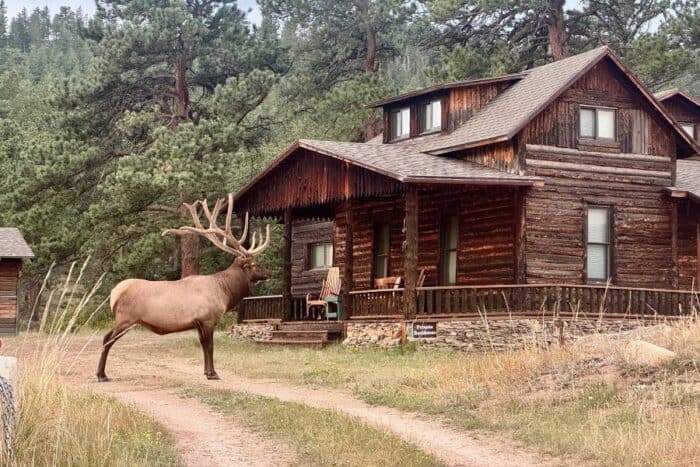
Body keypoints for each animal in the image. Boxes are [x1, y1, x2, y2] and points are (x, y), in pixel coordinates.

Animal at [96, 193, 271, 382]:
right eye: (254, 265)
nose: (268, 273)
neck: (224, 293)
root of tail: (114, 294)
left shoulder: (198, 322)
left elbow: (203, 346)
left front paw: (206, 372)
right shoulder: (208, 319)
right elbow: (210, 347)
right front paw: (213, 373)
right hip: (125, 319)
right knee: (107, 338)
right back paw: (101, 375)